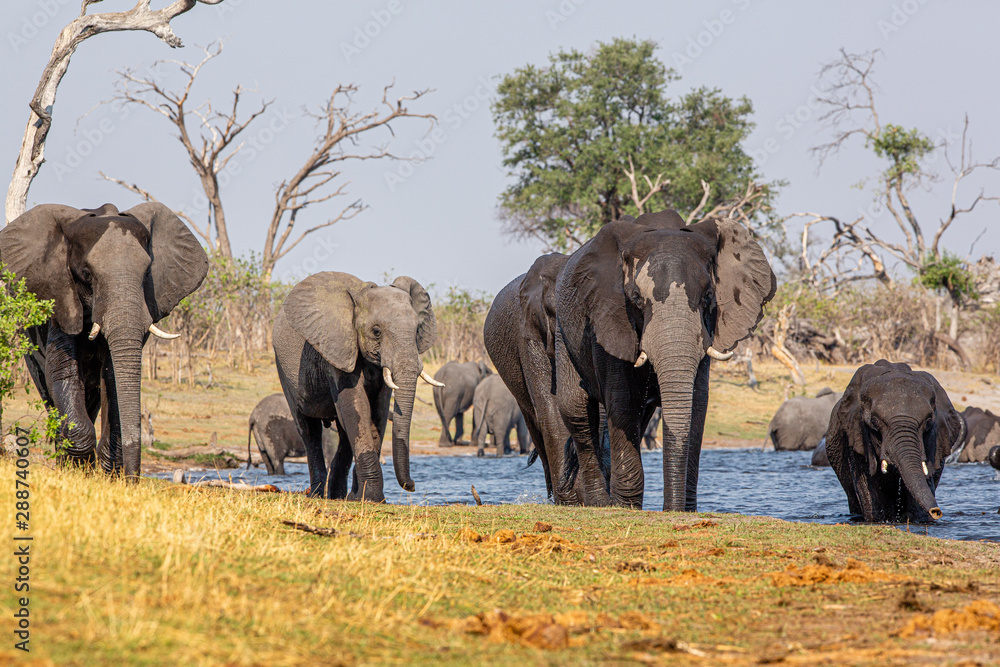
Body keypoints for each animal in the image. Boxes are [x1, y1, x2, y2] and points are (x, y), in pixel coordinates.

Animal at [0, 202, 208, 478]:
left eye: (147, 274)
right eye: (87, 275)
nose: (133, 480)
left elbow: (113, 380)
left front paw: (109, 475)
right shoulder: (60, 298)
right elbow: (62, 371)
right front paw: (81, 473)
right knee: (49, 393)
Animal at [272, 272, 440, 501]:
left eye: (416, 331)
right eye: (376, 332)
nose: (412, 485)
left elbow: (376, 412)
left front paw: (364, 497)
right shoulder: (338, 346)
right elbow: (356, 406)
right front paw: (372, 498)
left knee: (343, 432)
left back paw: (339, 496)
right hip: (283, 369)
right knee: (308, 429)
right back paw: (317, 495)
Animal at [554, 210, 776, 510]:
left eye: (708, 297)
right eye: (636, 298)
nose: (670, 509)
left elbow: (697, 403)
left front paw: (684, 510)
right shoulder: (608, 315)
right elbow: (622, 400)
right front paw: (626, 508)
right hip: (564, 332)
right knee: (576, 411)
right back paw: (598, 502)